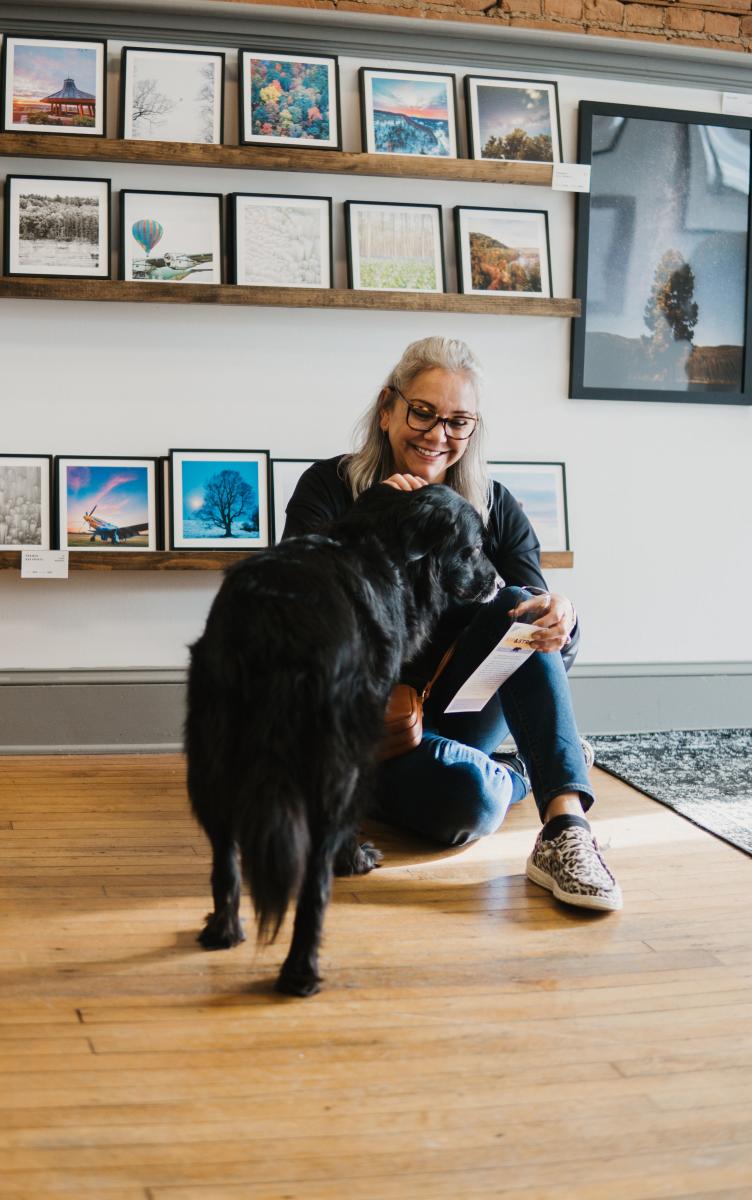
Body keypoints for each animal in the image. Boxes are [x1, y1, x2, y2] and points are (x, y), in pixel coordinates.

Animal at [185, 482, 501, 998]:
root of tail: (272, 615)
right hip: (330, 759)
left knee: (223, 855)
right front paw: (355, 857)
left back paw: (223, 931)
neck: (389, 548)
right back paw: (300, 971)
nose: (497, 582)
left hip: (211, 754)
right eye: (474, 548)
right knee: (313, 879)